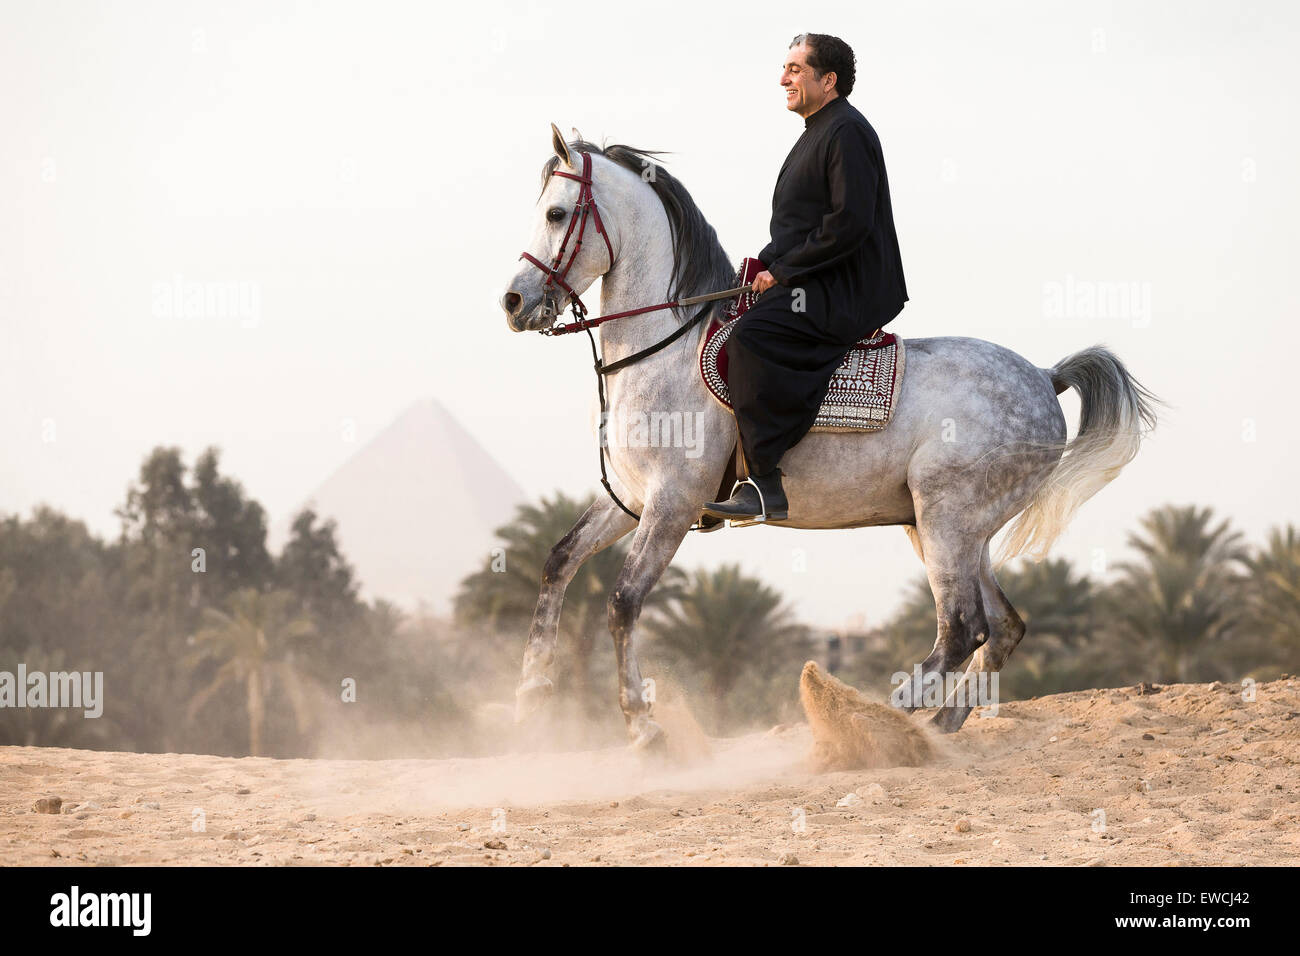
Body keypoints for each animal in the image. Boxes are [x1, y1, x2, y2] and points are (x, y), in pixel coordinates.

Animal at [496, 125, 1159, 749]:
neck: (665, 350)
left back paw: (882, 716)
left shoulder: (673, 502)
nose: (514, 301)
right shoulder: (632, 499)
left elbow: (624, 602)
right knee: (1002, 628)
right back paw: (937, 727)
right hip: (950, 529)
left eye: (557, 213)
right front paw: (529, 699)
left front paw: (641, 725)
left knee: (962, 626)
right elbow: (558, 562)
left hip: (947, 517)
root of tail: (1045, 377)